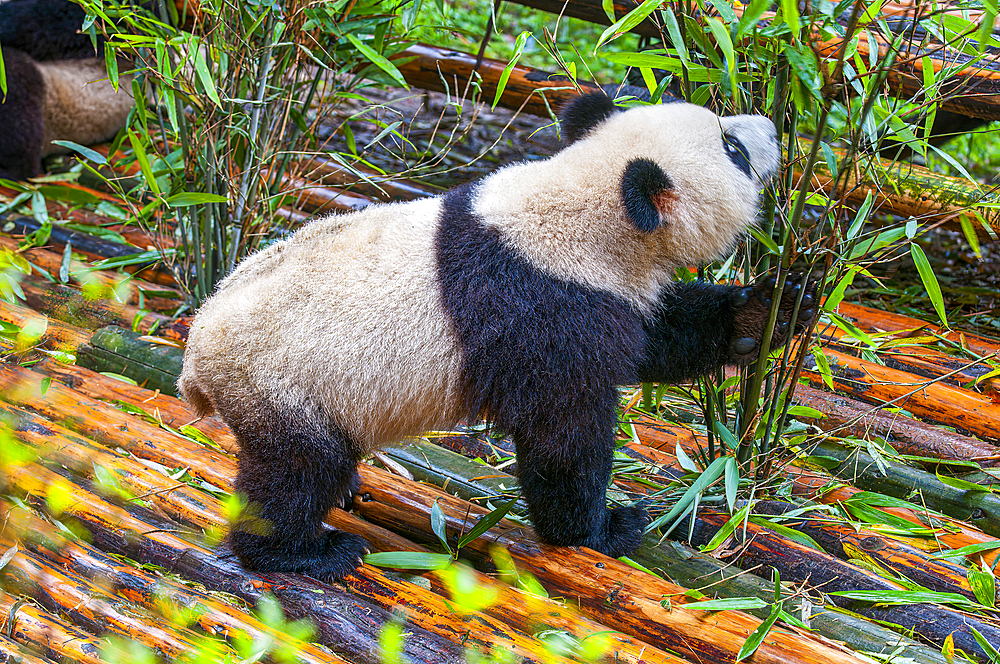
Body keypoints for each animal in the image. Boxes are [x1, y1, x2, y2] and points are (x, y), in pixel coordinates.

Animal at [180, 92, 816, 580]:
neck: (585, 205)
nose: (772, 129)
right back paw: (304, 552)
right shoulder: (543, 305)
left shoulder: (605, 289)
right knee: (294, 474)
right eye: (733, 151)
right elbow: (561, 432)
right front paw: (604, 527)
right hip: (286, 385)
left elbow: (658, 335)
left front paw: (775, 310)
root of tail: (196, 360)